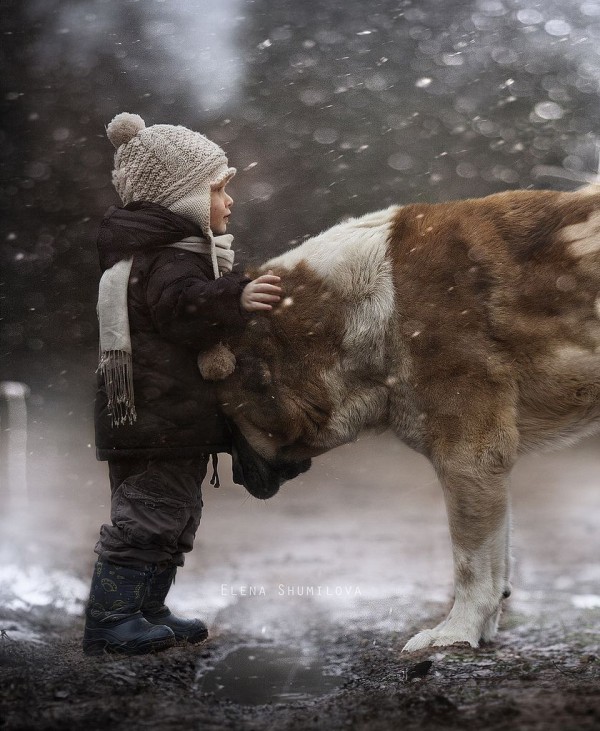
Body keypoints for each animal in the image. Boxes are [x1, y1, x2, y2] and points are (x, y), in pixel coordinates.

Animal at [214, 187, 600, 652]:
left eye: (224, 422)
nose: (237, 479)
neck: (365, 308)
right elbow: (499, 560)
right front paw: (481, 630)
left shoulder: (468, 457)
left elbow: (472, 563)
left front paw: (455, 633)